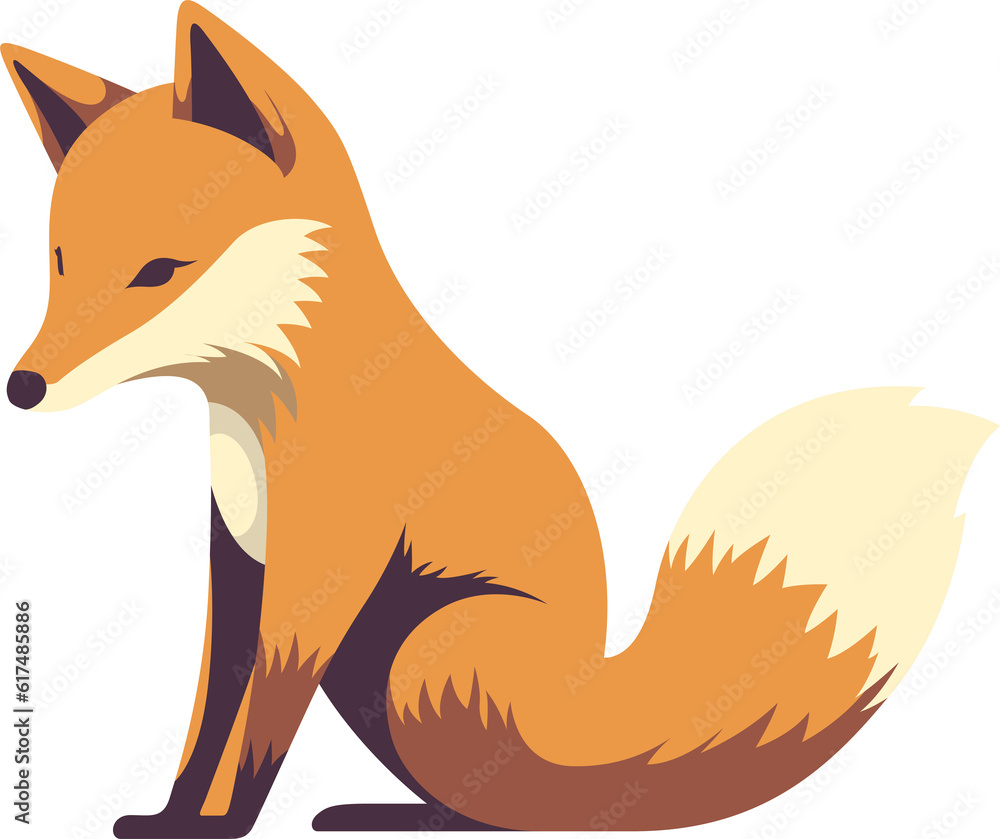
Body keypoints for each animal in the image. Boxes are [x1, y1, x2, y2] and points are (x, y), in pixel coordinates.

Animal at [1, 2, 994, 835]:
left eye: (159, 270)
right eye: (58, 262)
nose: (22, 388)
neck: (262, 410)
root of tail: (598, 713)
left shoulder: (318, 581)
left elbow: (253, 737)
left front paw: (219, 827)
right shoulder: (239, 569)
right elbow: (208, 720)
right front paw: (170, 819)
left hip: (425, 651)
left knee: (516, 810)